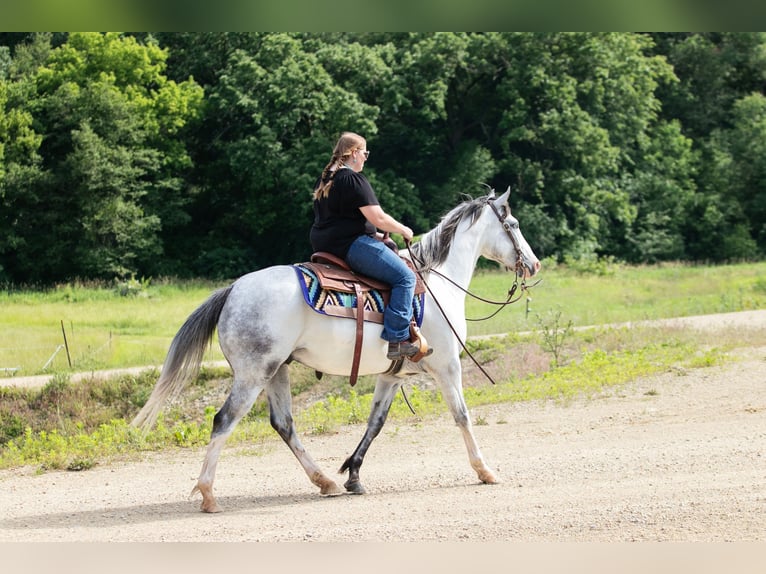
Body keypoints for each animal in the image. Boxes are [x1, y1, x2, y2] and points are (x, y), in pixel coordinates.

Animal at [130, 188, 540, 512]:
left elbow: (375, 423)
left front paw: (352, 474)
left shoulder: (392, 377)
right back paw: (208, 494)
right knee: (224, 421)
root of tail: (233, 290)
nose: (534, 264)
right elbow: (462, 416)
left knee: (284, 424)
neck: (437, 282)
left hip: (276, 372)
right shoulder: (447, 367)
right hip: (252, 375)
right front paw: (485, 470)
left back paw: (324, 480)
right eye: (514, 224)